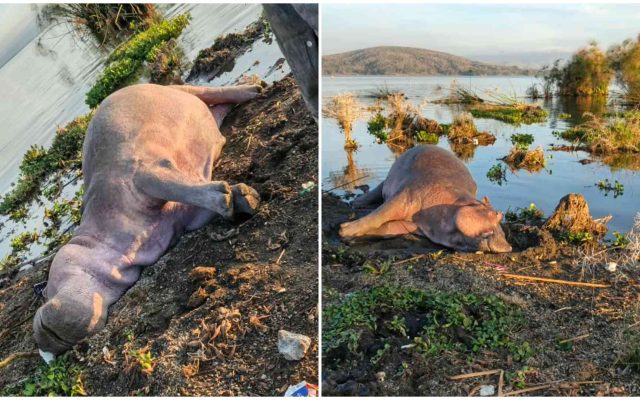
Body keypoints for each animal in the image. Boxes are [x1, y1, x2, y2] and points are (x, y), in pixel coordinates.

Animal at [33, 83, 262, 355]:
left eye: (44, 291)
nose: (43, 343)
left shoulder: (142, 174)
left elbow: (170, 184)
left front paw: (229, 199)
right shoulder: (183, 217)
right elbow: (192, 194)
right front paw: (242, 197)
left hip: (176, 91)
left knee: (207, 90)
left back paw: (255, 88)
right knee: (215, 108)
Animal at [339, 145, 512, 253]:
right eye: (497, 214)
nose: (509, 246)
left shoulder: (414, 225)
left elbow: (389, 228)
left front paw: (350, 238)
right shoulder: (406, 195)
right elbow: (379, 215)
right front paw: (343, 230)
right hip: (388, 181)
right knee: (378, 191)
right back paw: (356, 204)